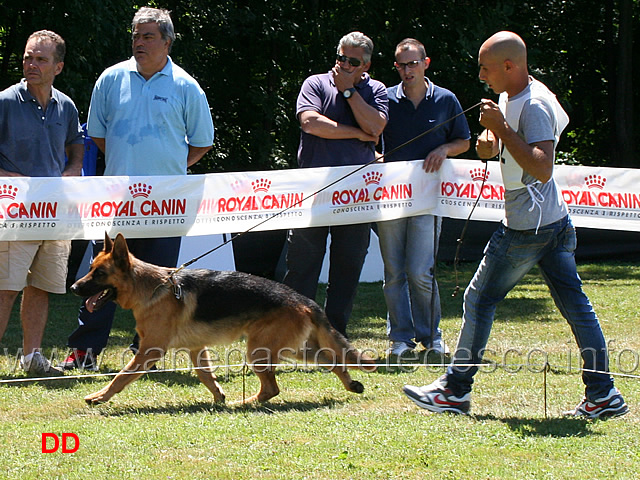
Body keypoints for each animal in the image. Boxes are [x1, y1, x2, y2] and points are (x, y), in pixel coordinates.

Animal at [70, 232, 376, 404]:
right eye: (90, 268)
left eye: (99, 274)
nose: (73, 288)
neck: (152, 287)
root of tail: (304, 300)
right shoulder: (196, 349)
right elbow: (205, 375)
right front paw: (218, 396)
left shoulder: (149, 351)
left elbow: (120, 377)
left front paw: (99, 397)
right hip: (297, 349)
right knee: (333, 361)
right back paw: (351, 385)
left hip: (259, 352)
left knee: (272, 389)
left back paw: (247, 402)